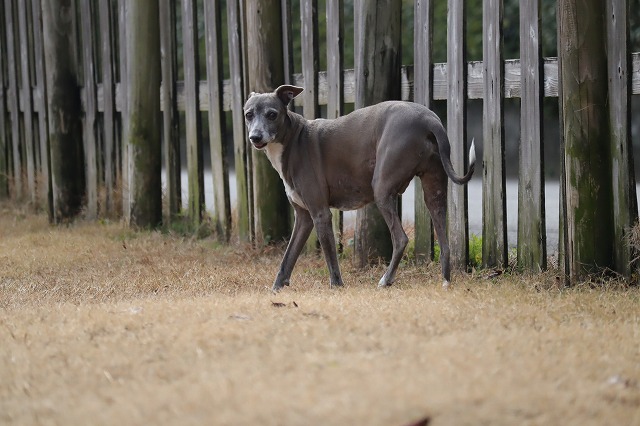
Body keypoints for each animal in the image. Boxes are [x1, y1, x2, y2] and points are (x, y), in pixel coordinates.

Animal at [243, 85, 475, 290]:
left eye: (272, 114)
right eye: (248, 115)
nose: (255, 137)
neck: (293, 140)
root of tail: (429, 120)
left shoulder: (320, 214)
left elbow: (331, 258)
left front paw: (337, 286)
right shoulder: (303, 217)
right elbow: (288, 257)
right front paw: (276, 288)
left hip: (381, 189)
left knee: (400, 239)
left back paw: (386, 280)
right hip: (434, 192)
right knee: (445, 243)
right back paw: (445, 282)